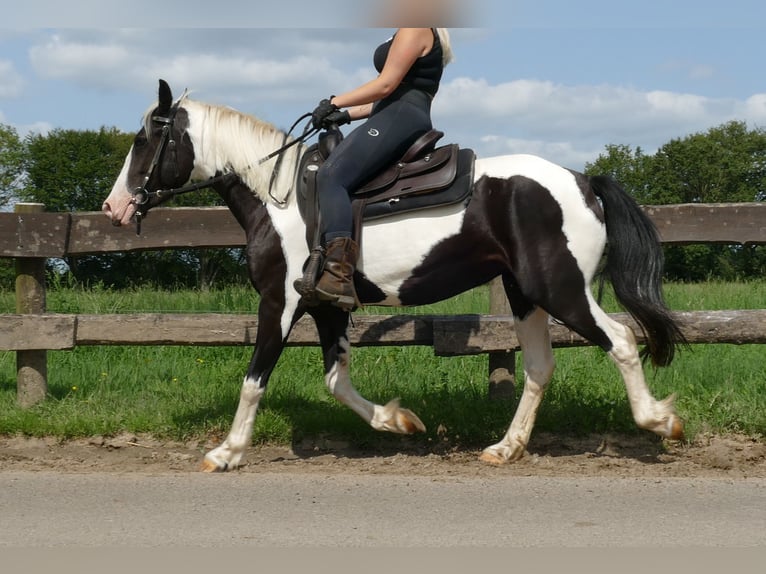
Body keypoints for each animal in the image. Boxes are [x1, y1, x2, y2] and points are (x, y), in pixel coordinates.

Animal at [103, 79, 688, 472]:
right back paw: (506, 447)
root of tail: (583, 180)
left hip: (561, 289)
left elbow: (253, 381)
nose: (114, 206)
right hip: (526, 295)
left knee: (620, 340)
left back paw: (660, 421)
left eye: (143, 140)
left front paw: (227, 452)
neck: (279, 196)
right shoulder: (325, 304)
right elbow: (336, 381)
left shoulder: (281, 302)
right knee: (540, 366)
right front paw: (399, 422)